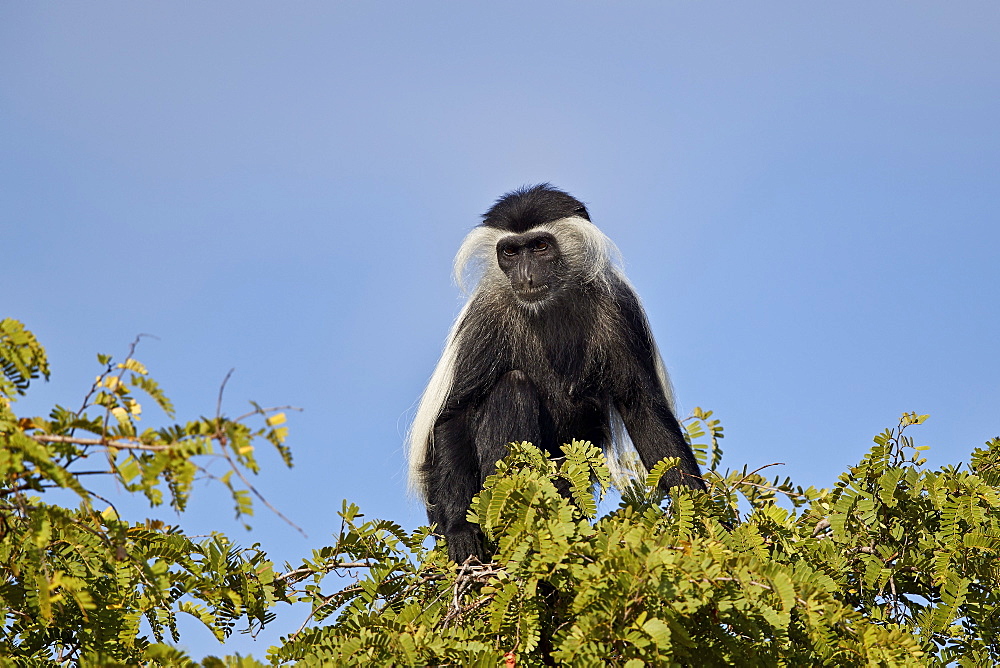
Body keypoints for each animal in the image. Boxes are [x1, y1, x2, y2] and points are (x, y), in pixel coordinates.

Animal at [406, 184, 704, 564]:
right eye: (511, 251)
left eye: (540, 247)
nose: (524, 275)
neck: (548, 304)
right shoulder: (485, 317)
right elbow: (454, 414)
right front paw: (462, 532)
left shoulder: (620, 307)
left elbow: (642, 410)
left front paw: (703, 515)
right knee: (513, 385)